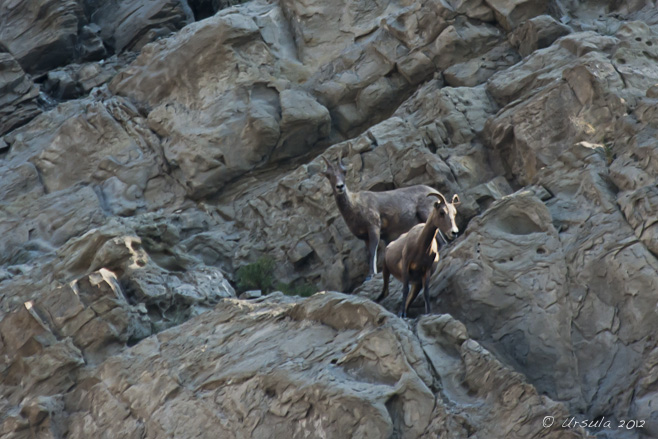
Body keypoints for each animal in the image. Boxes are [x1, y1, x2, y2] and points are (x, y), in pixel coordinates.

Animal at [320, 156, 448, 278]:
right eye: (328, 175)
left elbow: (373, 251)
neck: (354, 205)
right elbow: (370, 253)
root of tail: (435, 193)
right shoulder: (366, 237)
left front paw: (371, 275)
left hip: (426, 214)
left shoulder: (374, 228)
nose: (340, 186)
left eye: (344, 171)